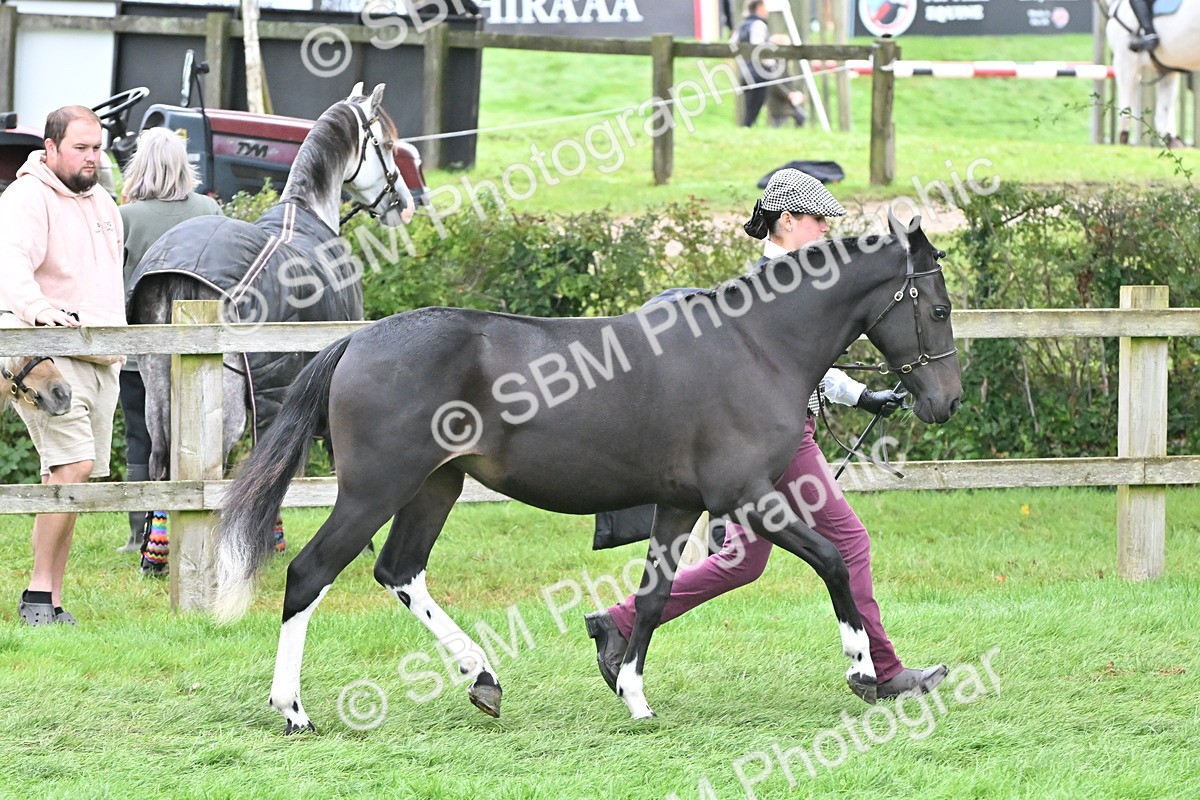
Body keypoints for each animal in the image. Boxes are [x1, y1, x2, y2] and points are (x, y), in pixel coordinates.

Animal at [212, 211, 962, 735]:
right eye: (940, 307)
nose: (946, 402)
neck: (754, 345)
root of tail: (357, 340)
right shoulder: (747, 496)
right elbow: (833, 560)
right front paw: (862, 669)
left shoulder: (680, 505)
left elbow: (656, 595)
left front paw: (631, 692)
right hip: (377, 489)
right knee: (310, 573)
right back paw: (294, 709)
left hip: (434, 486)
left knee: (398, 571)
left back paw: (482, 678)